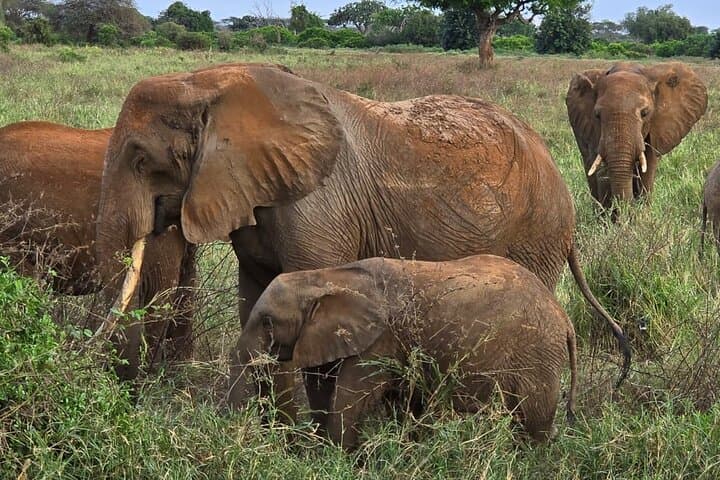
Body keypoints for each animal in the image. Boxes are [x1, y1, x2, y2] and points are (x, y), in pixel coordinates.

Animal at [94, 62, 628, 425]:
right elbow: (256, 299)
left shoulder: (318, 205)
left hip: (535, 236)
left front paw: (303, 442)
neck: (208, 82)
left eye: (139, 158)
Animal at [229, 255, 578, 450]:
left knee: (532, 421)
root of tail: (564, 317)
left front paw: (335, 457)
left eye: (267, 322)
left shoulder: (380, 339)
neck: (326, 276)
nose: (294, 450)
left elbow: (351, 399)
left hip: (536, 353)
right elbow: (407, 406)